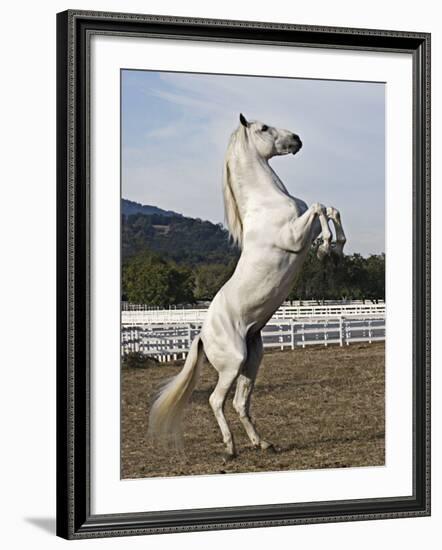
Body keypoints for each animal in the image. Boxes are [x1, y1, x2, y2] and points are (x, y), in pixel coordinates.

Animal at [148, 113, 346, 462]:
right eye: (264, 128)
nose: (297, 139)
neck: (266, 202)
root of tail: (202, 335)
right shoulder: (294, 235)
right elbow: (320, 207)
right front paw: (326, 248)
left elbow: (331, 209)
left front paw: (336, 249)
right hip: (233, 362)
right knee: (216, 400)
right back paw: (230, 448)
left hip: (253, 360)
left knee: (241, 402)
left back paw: (262, 443)